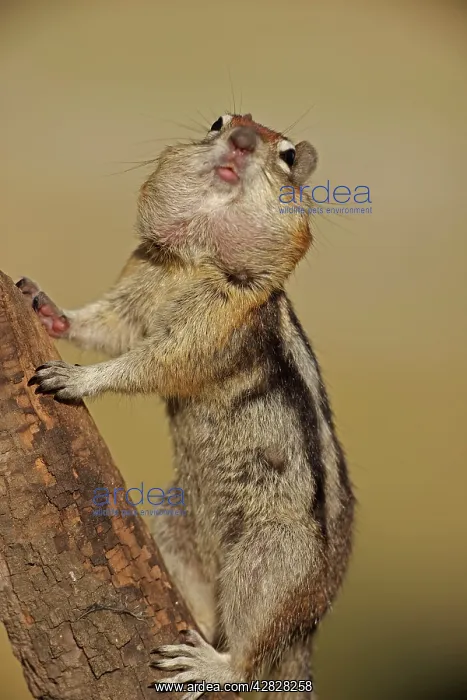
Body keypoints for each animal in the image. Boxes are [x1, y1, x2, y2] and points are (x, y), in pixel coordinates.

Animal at [19, 112, 355, 700]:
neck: (194, 259)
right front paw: (49, 310)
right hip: (178, 526)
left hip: (270, 561)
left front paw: (78, 378)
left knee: (250, 651)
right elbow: (108, 326)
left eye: (288, 155)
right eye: (219, 121)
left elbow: (152, 360)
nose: (241, 141)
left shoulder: (214, 323)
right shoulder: (139, 283)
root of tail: (305, 631)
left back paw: (213, 664)